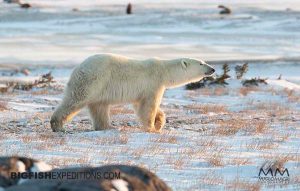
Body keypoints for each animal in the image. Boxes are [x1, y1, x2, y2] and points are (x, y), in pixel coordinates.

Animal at [51, 53, 216, 132]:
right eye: (201, 63)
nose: (213, 69)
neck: (164, 70)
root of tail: (77, 68)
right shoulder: (153, 82)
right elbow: (148, 106)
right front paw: (151, 127)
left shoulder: (145, 89)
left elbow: (141, 105)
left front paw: (159, 122)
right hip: (94, 80)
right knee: (75, 100)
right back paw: (57, 125)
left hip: (100, 88)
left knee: (99, 107)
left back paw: (107, 127)